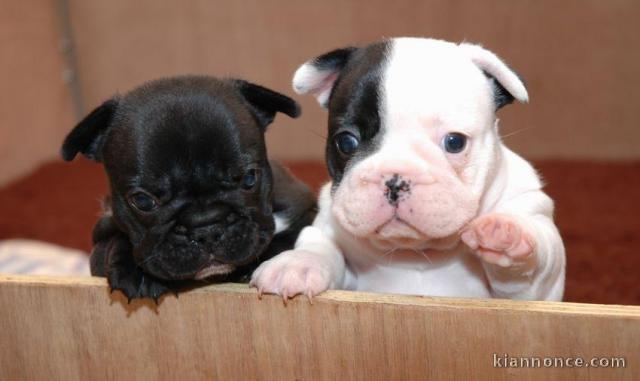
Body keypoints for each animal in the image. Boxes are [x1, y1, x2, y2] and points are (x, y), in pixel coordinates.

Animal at [61, 75, 316, 300]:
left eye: (249, 178)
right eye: (143, 201)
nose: (207, 228)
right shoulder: (99, 242)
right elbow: (115, 243)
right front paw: (136, 272)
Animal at [250, 37, 564, 300]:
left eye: (455, 142)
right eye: (346, 142)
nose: (395, 180)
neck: (412, 251)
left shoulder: (532, 287)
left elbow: (537, 256)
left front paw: (505, 233)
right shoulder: (327, 226)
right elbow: (321, 244)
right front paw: (296, 264)